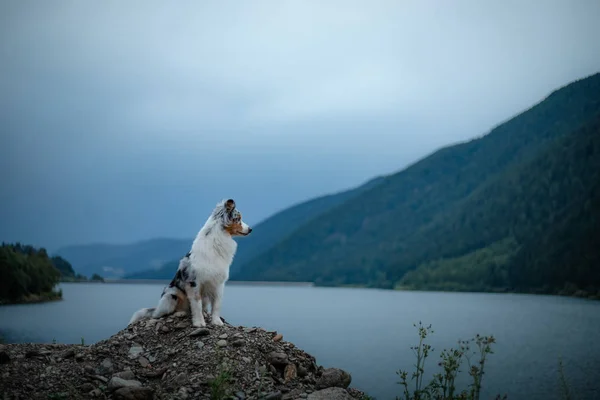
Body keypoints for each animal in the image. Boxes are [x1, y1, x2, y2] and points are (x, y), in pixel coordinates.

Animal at [127, 198, 252, 326]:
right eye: (238, 218)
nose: (250, 229)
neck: (217, 241)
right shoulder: (194, 282)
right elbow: (197, 304)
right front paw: (199, 323)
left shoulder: (218, 283)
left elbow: (217, 304)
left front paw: (216, 321)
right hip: (171, 295)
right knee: (161, 315)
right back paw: (179, 313)